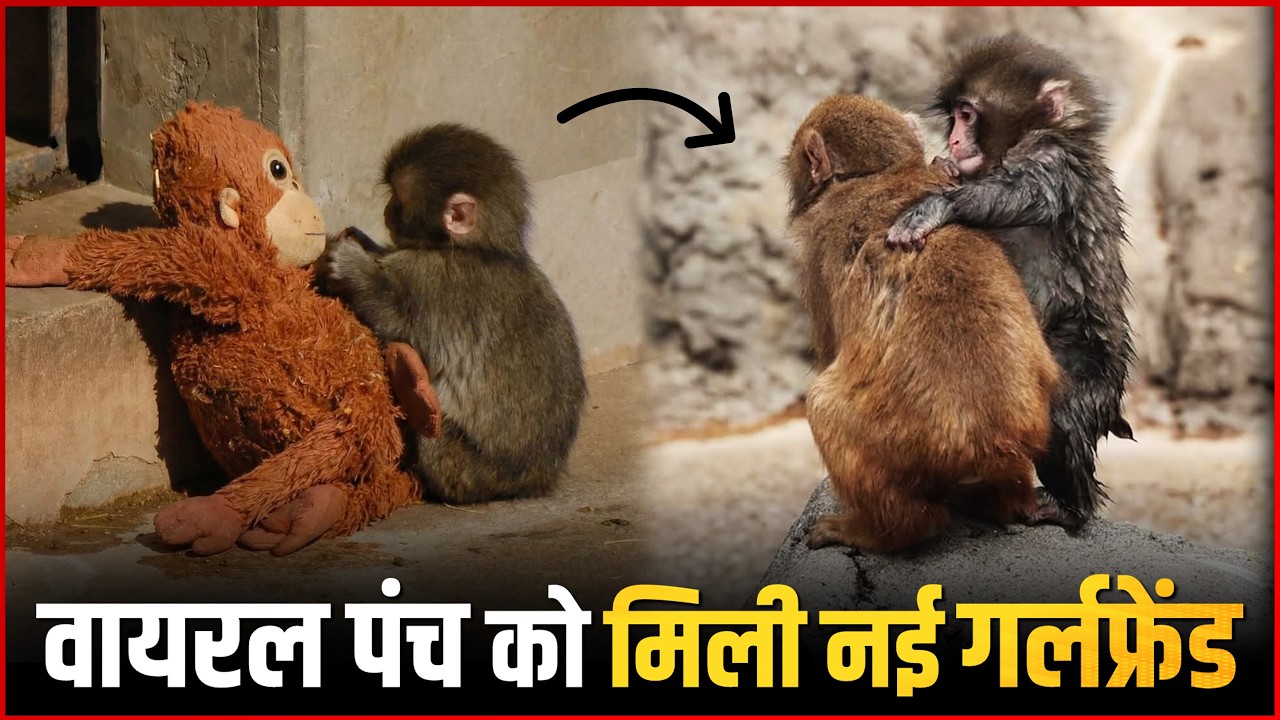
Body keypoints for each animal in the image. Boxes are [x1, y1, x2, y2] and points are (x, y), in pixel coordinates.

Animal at [316, 123, 588, 504]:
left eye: (398, 201)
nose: (386, 211)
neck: (478, 249)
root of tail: (535, 480)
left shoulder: (435, 282)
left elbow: (396, 321)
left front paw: (350, 264)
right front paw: (364, 243)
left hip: (464, 468)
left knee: (434, 438)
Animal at [785, 94, 1063, 554]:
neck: (878, 173)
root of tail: (993, 441)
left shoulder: (815, 250)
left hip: (899, 442)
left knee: (824, 405)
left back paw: (880, 532)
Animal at [886, 34, 1136, 526]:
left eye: (968, 114)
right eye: (954, 115)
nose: (953, 137)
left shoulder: (1052, 158)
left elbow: (1021, 192)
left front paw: (938, 205)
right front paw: (944, 169)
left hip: (1089, 362)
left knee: (1061, 415)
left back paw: (1071, 507)